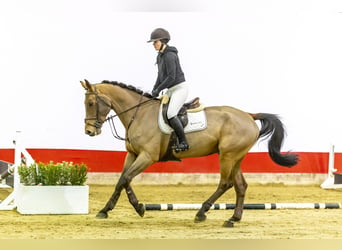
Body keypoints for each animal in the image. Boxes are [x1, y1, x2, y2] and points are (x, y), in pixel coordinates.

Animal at [81, 79, 300, 228]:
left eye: (91, 103)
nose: (89, 131)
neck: (139, 114)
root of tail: (248, 115)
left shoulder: (147, 156)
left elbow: (126, 178)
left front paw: (136, 208)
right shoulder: (133, 155)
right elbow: (122, 180)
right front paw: (109, 210)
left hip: (227, 156)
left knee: (226, 183)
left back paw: (202, 213)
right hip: (235, 157)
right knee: (240, 185)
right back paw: (233, 218)